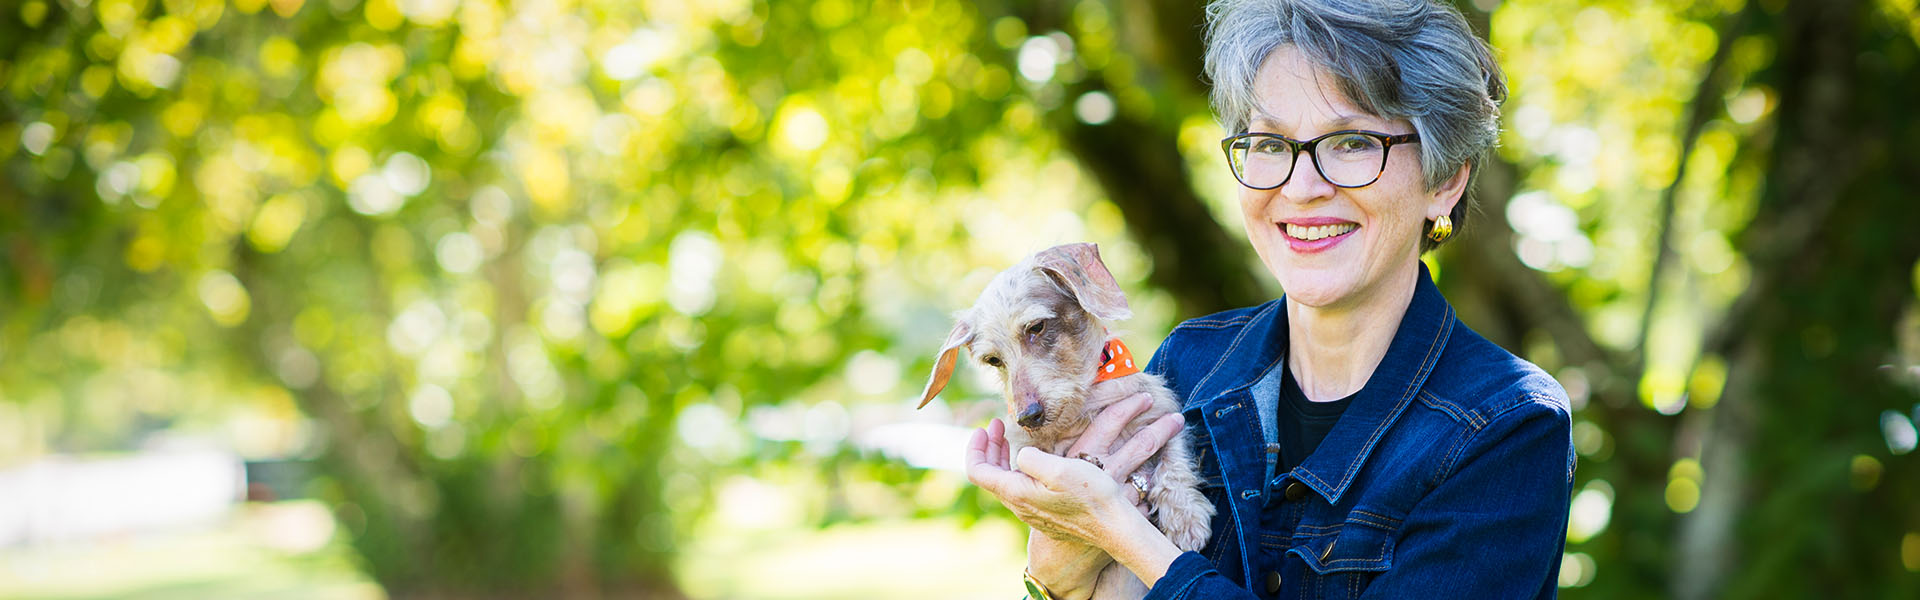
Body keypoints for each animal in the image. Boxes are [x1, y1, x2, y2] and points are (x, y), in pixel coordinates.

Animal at [917, 242, 1213, 596]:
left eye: (1036, 327)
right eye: (993, 360)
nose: (1028, 417)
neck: (1084, 406)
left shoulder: (1163, 416)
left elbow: (1174, 464)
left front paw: (1186, 518)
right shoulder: (1028, 453)